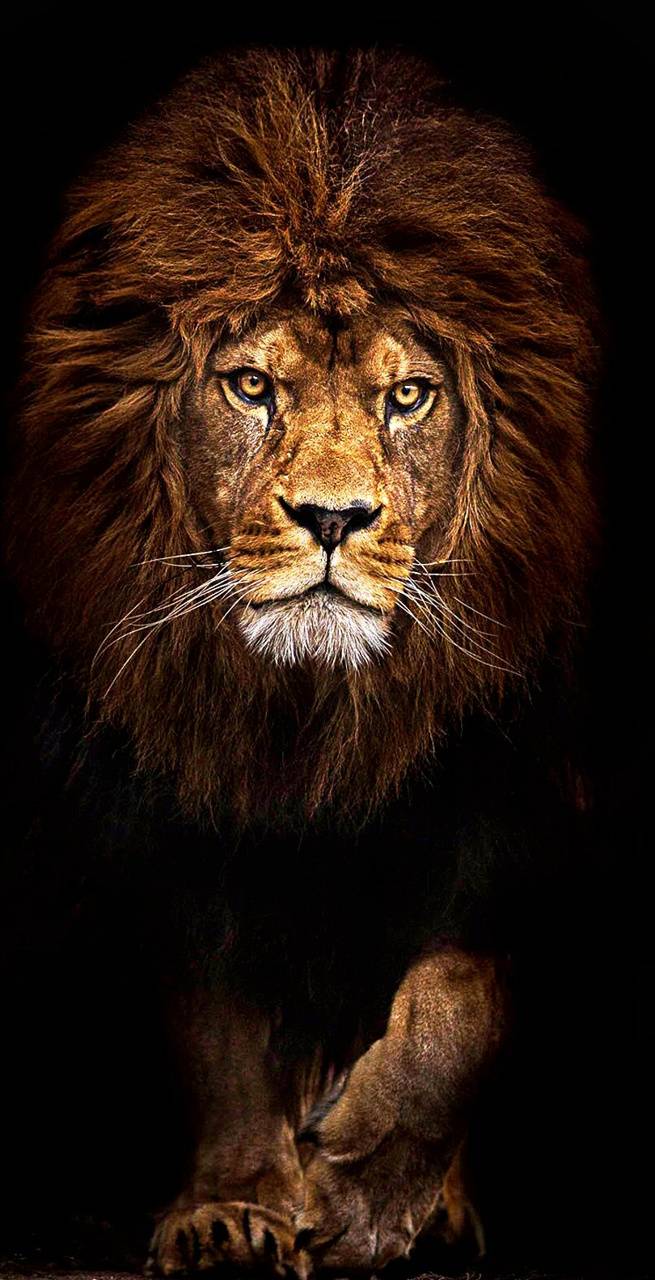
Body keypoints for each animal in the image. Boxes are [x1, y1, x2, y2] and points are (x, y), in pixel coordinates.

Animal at [5, 45, 598, 1277]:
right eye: (250, 385)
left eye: (407, 395)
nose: (332, 517)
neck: (312, 718)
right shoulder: (173, 798)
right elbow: (218, 1020)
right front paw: (236, 1206)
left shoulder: (517, 788)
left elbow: (458, 996)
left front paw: (369, 1190)